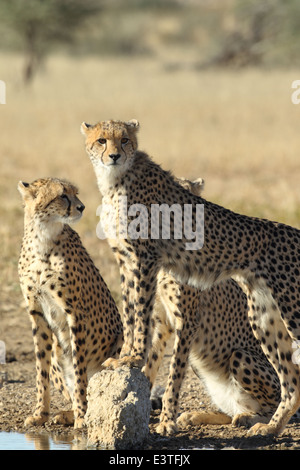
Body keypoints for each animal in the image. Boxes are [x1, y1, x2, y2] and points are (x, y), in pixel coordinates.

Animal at [17, 178, 122, 428]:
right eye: (62, 195)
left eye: (76, 193)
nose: (82, 207)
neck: (42, 237)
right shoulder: (37, 313)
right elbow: (41, 370)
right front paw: (40, 413)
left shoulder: (75, 312)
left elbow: (79, 367)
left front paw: (83, 417)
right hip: (57, 350)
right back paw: (67, 413)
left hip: (119, 341)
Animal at [81, 118, 300, 436]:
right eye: (101, 140)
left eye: (124, 140)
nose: (113, 156)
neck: (116, 179)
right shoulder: (125, 261)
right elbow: (130, 314)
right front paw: (125, 358)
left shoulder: (146, 262)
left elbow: (150, 332)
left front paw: (137, 362)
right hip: (264, 318)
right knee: (291, 380)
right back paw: (269, 427)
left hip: (282, 319)